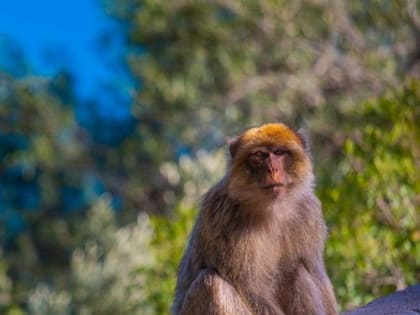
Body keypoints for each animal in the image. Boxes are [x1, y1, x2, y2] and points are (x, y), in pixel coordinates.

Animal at [171, 123, 338, 315]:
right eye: (259, 155)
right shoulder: (223, 215)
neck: (272, 210)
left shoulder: (309, 212)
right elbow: (249, 288)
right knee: (210, 284)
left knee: (296, 273)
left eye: (279, 152)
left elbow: (315, 273)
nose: (272, 169)